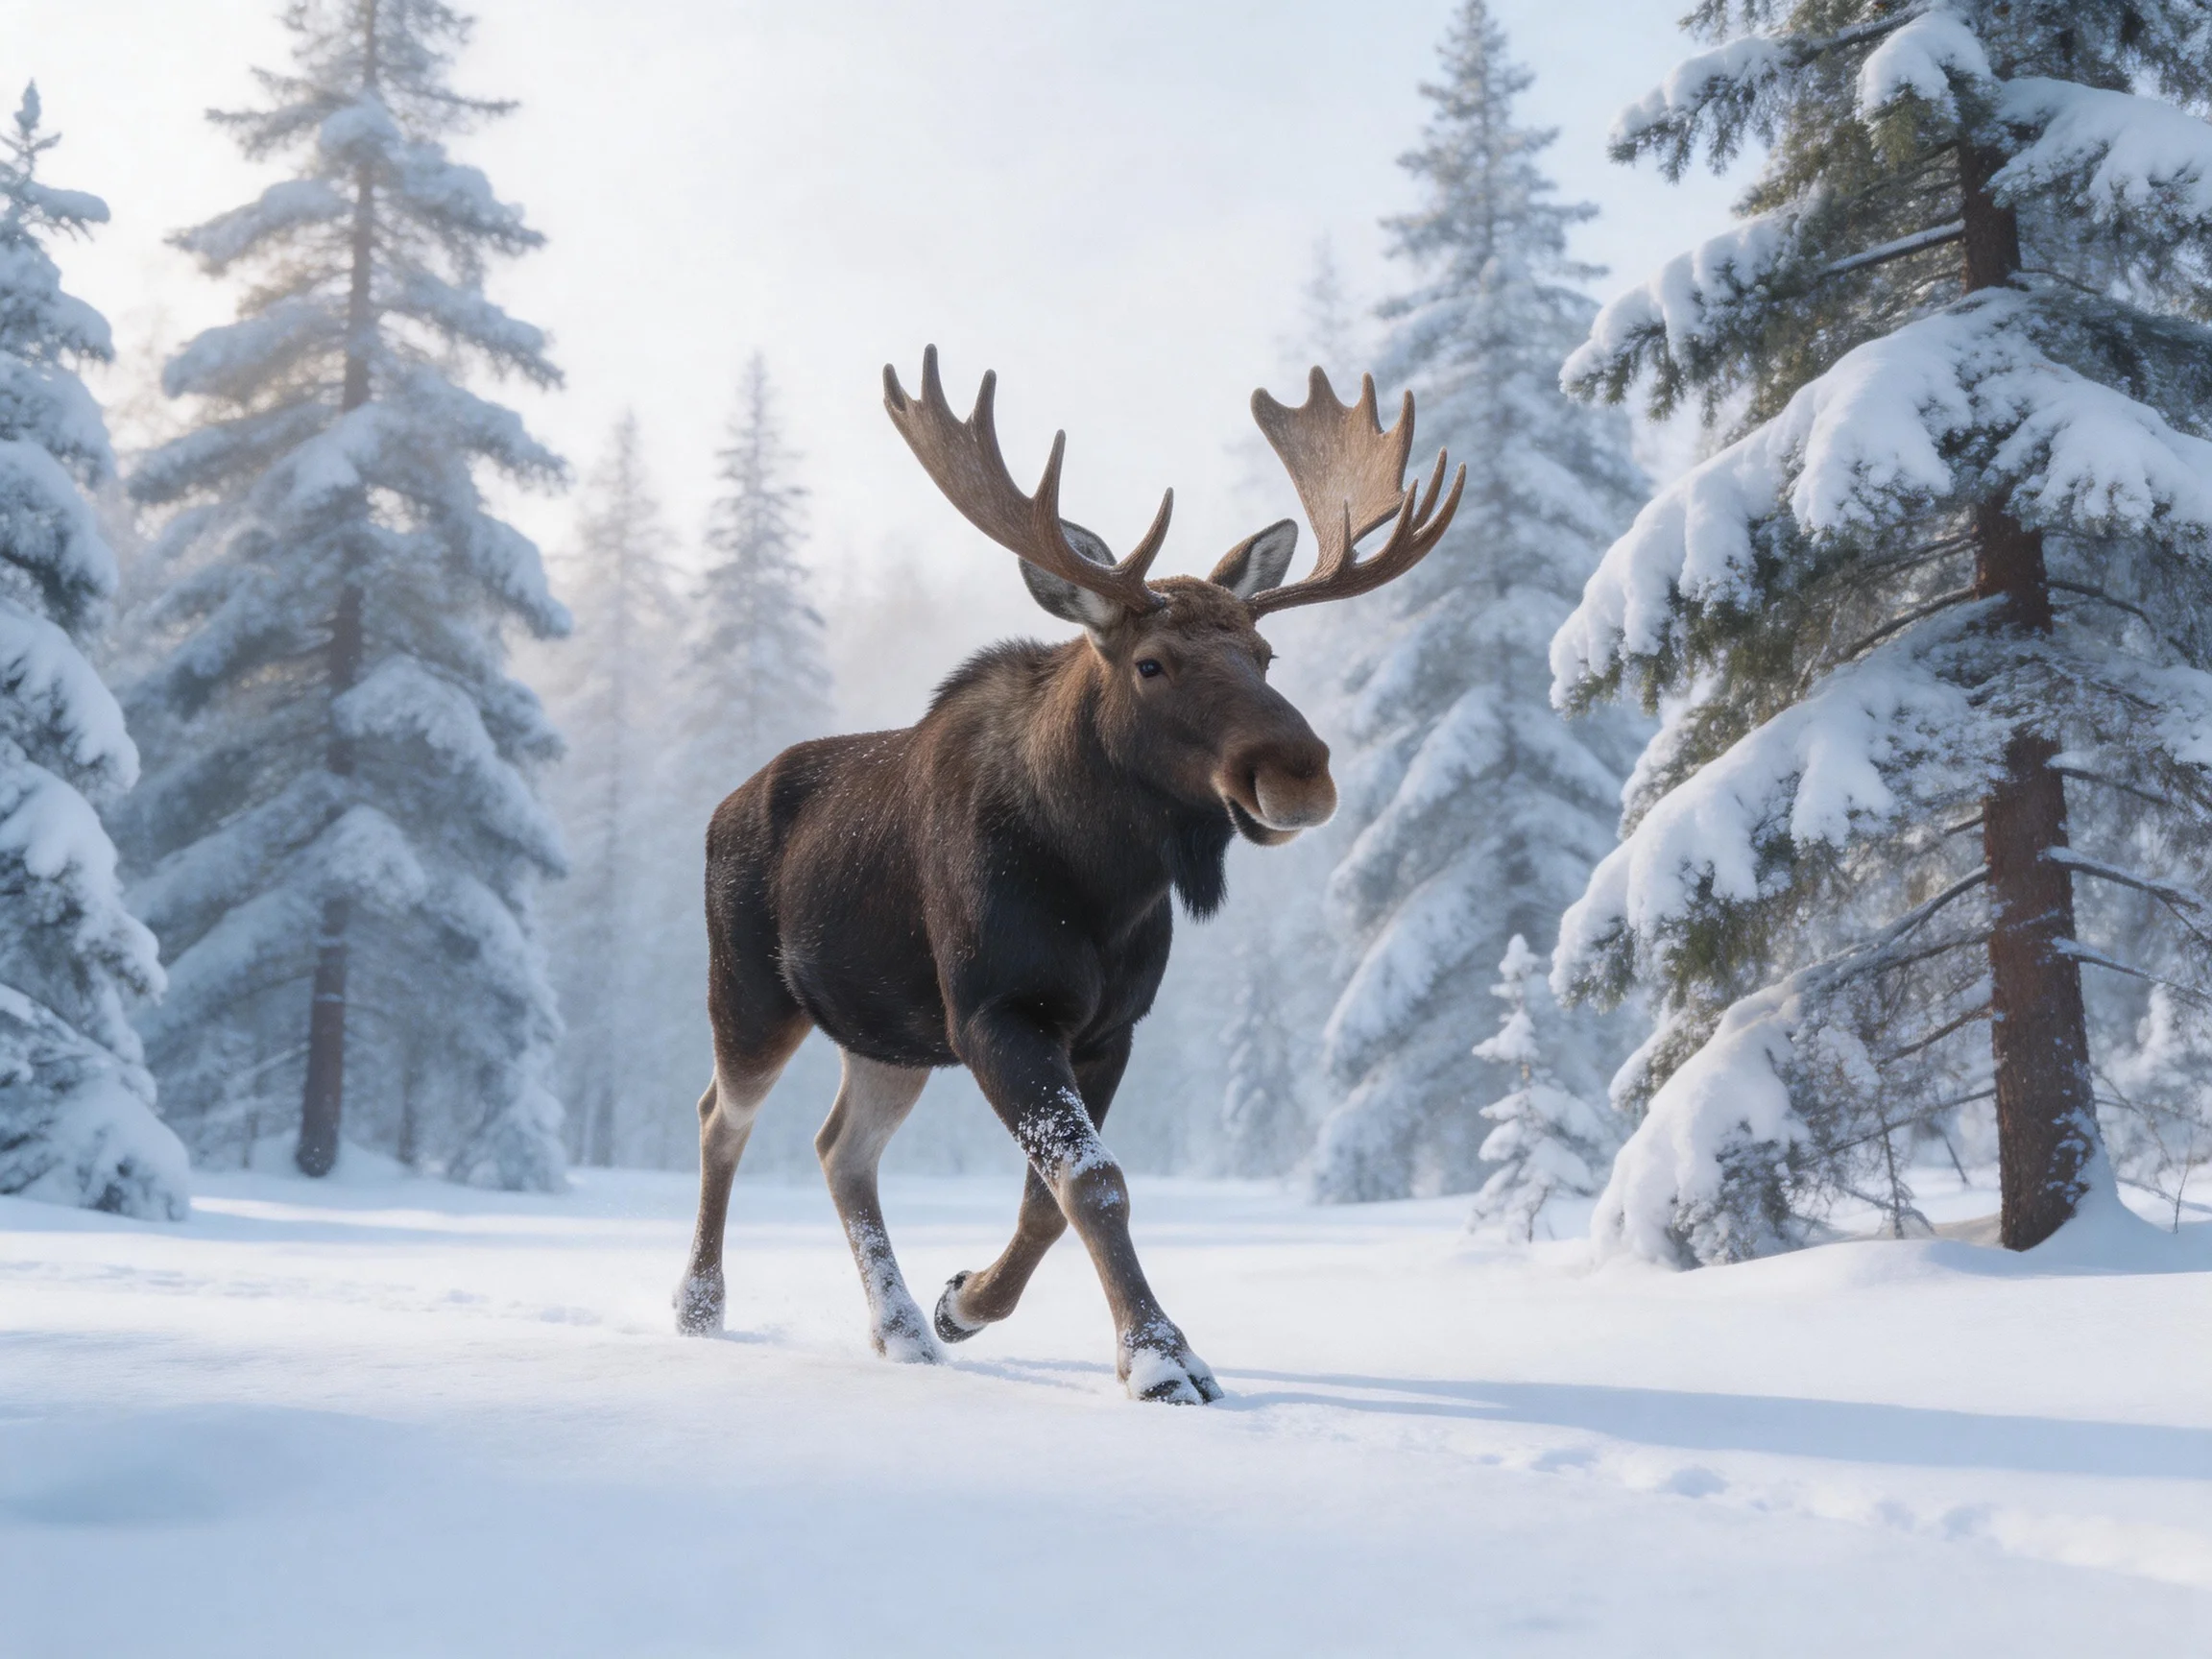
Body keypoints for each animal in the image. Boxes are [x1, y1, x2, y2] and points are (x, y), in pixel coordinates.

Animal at [674, 347, 1463, 1402]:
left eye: (1264, 653)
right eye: (1152, 663)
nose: (1299, 772)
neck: (1101, 881)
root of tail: (722, 806)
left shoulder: (1109, 1027)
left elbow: (1053, 1198)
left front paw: (961, 1303)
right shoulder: (997, 1011)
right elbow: (1092, 1179)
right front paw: (1162, 1361)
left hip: (885, 1035)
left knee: (840, 1149)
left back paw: (902, 1331)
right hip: (752, 993)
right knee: (723, 1116)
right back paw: (700, 1306)